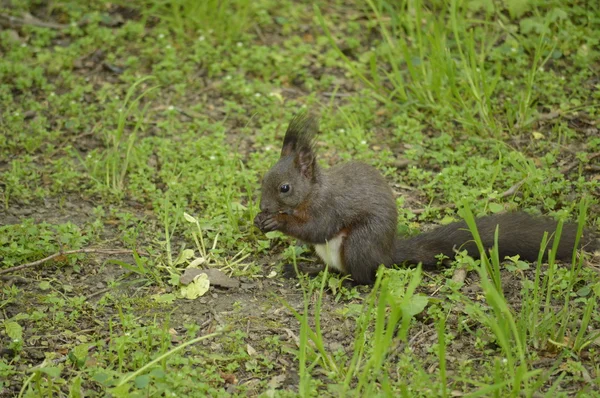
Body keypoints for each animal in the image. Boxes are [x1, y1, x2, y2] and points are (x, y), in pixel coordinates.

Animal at [252, 113, 596, 284]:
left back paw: (351, 281)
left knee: (364, 277)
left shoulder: (330, 207)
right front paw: (261, 220)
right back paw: (307, 270)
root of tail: (387, 253)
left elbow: (316, 228)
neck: (312, 193)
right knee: (333, 269)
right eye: (263, 179)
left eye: (285, 188)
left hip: (360, 244)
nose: (263, 207)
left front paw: (276, 222)